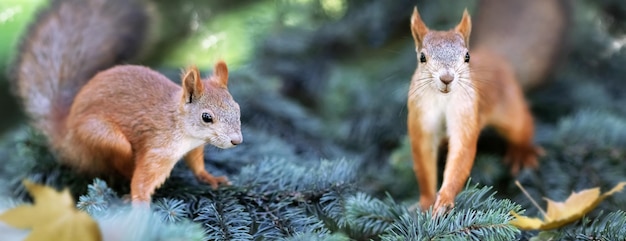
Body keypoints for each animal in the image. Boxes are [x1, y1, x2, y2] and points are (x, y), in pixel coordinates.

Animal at [12, 0, 241, 203]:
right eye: (206, 117)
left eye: (237, 108)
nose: (237, 141)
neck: (183, 128)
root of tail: (65, 134)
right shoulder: (158, 148)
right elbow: (142, 181)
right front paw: (140, 206)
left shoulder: (194, 146)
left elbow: (196, 163)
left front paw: (209, 177)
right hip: (100, 137)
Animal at [404, 5, 544, 213]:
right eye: (422, 57)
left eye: (467, 56)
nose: (447, 78)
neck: (443, 99)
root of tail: (497, 59)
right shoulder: (421, 116)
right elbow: (423, 161)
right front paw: (426, 201)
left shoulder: (467, 112)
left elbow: (462, 152)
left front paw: (444, 199)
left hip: (509, 111)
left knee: (522, 125)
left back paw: (522, 153)